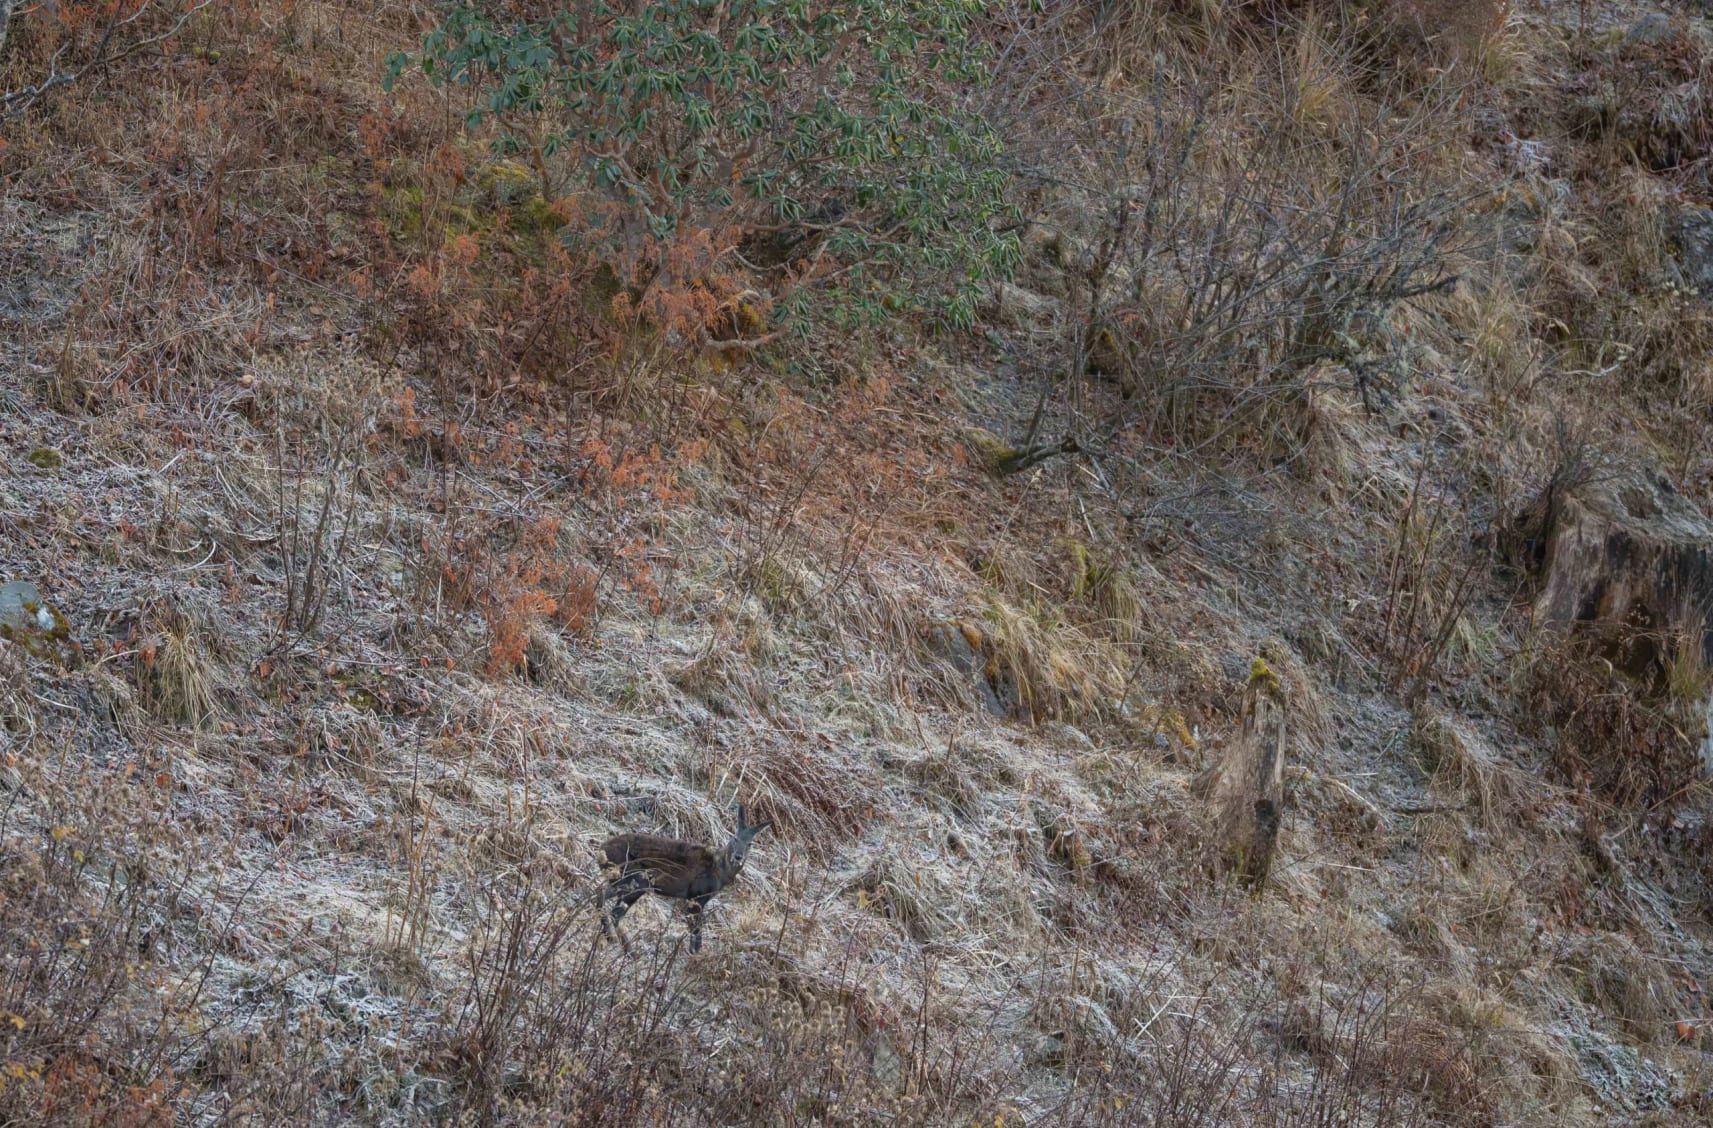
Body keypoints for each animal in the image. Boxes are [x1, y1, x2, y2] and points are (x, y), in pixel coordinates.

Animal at [597, 804, 771, 952]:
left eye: (750, 843)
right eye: (734, 838)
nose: (738, 857)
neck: (718, 870)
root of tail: (602, 850)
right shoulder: (697, 895)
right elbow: (696, 931)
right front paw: (694, 956)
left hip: (620, 880)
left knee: (599, 897)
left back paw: (614, 941)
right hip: (636, 879)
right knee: (614, 913)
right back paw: (625, 949)